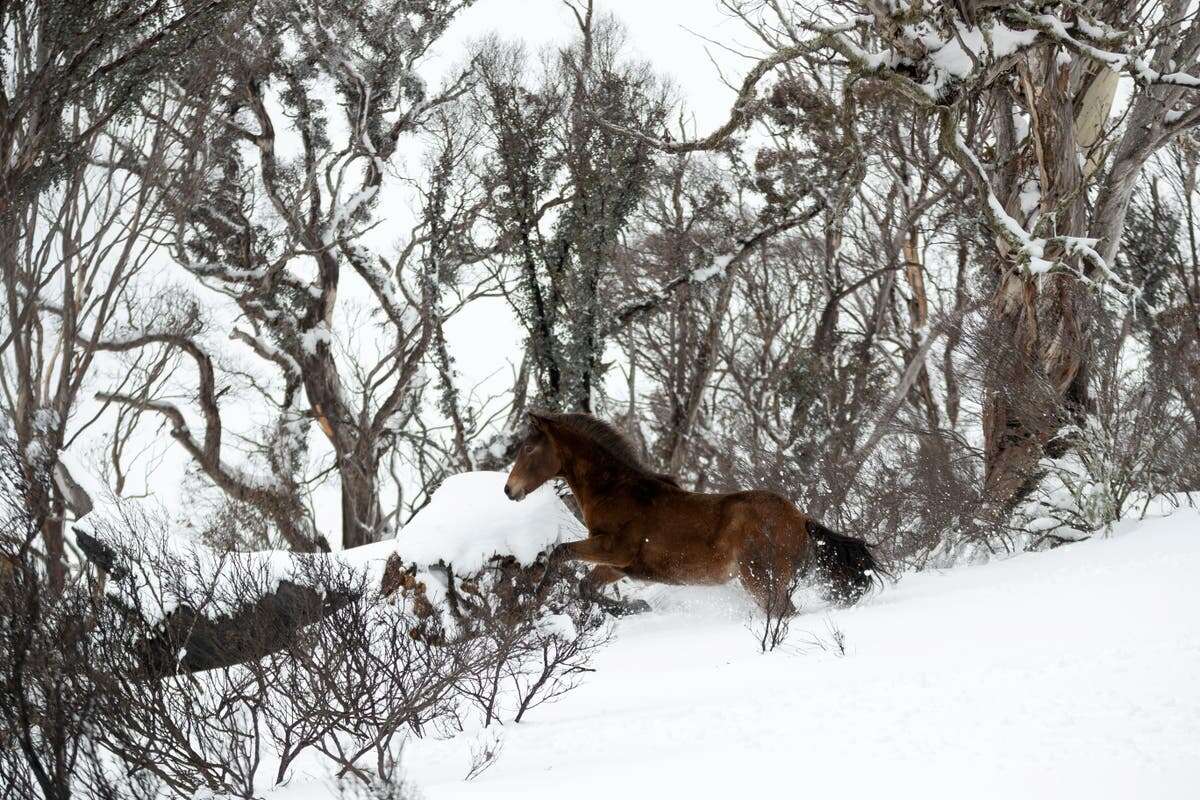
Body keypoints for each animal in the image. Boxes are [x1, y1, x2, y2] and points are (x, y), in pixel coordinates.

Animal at [499, 412, 883, 614]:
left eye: (529, 448)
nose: (509, 490)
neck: (615, 492)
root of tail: (801, 519)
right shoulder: (618, 565)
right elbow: (585, 586)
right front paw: (637, 607)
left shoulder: (612, 548)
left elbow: (560, 553)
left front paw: (537, 595)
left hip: (760, 577)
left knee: (781, 611)